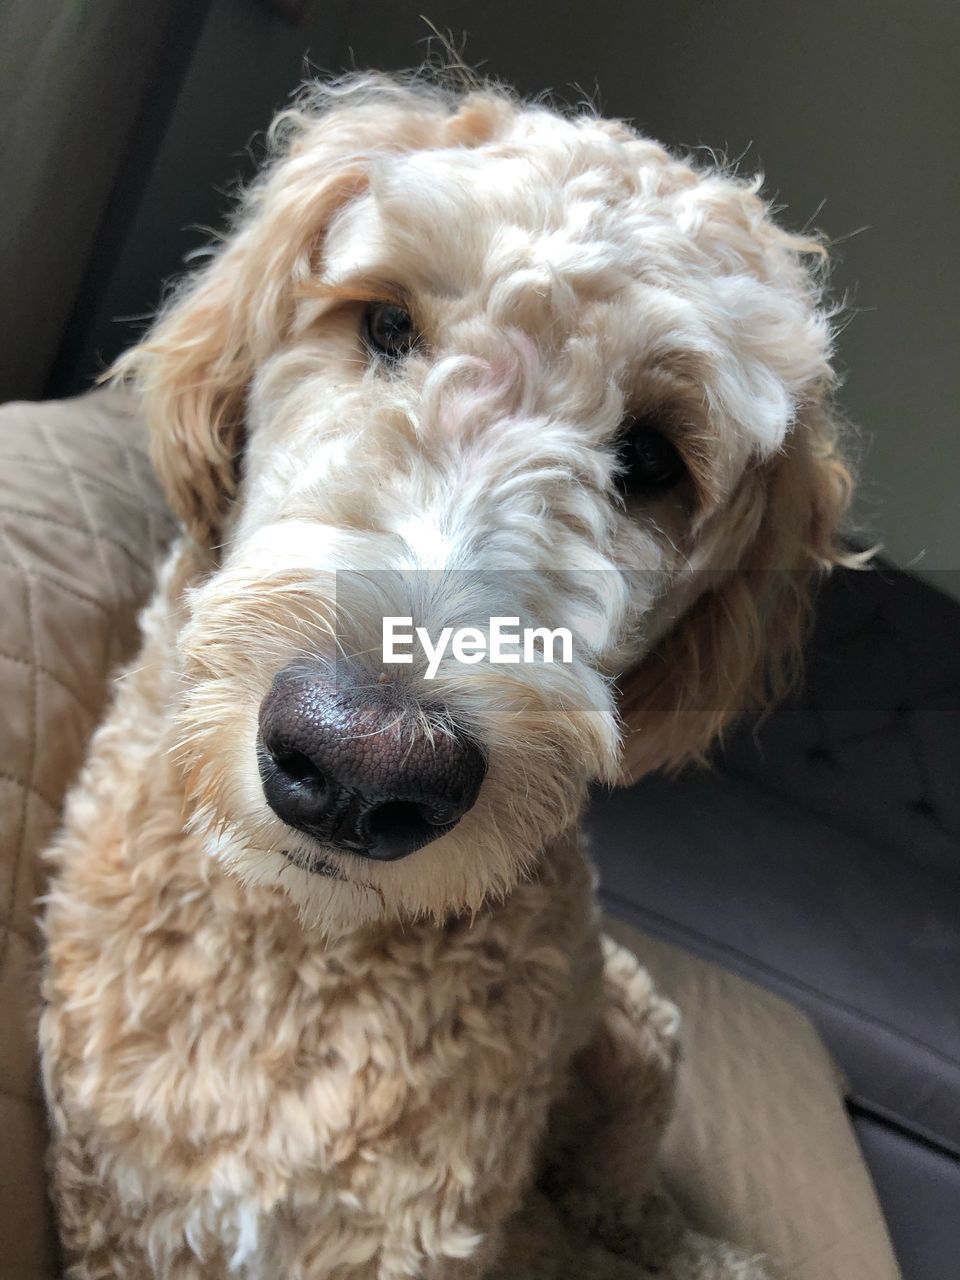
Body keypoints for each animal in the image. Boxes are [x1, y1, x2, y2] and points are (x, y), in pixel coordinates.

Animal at [37, 72, 855, 1280]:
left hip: (637, 1036)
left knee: (621, 1192)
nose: (360, 766)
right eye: (385, 323)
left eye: (654, 457)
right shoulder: (121, 1210)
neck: (300, 947)